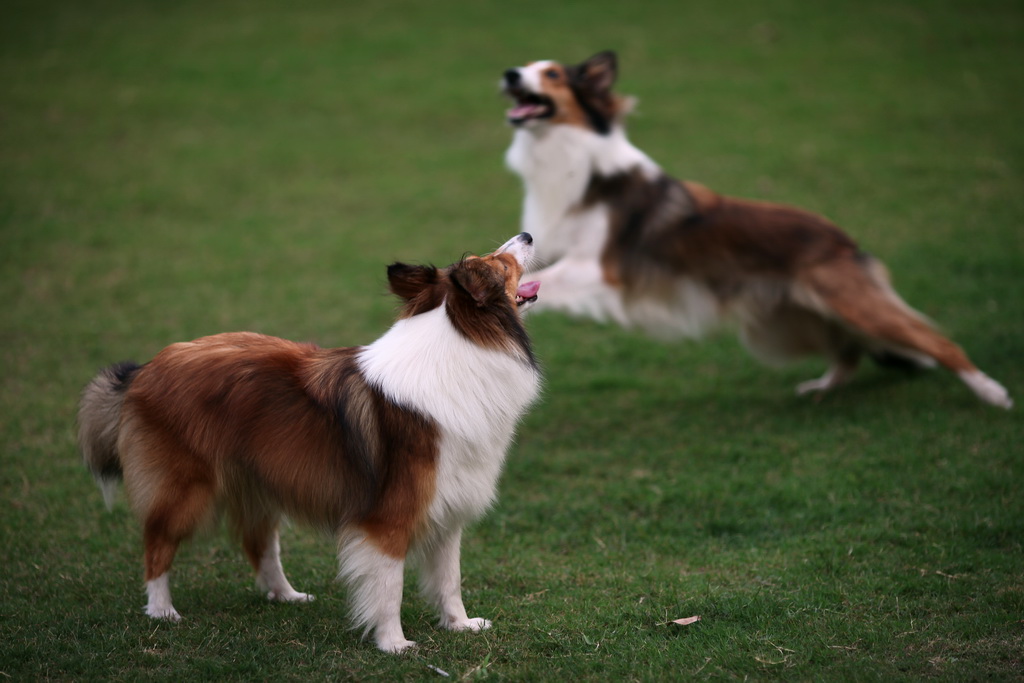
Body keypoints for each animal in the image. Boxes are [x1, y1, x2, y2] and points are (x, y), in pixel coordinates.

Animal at [77, 233, 544, 651]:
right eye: (499, 262)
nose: (527, 234)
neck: (460, 346)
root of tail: (146, 368)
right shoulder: (389, 516)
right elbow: (389, 586)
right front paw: (394, 644)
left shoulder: (448, 508)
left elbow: (450, 579)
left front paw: (460, 625)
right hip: (184, 488)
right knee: (157, 543)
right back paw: (162, 611)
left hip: (258, 481)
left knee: (260, 544)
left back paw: (286, 595)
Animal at [499, 52, 1011, 411]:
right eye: (526, 66)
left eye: (553, 75)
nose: (509, 74)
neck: (570, 158)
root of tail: (845, 239)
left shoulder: (600, 269)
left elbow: (542, 279)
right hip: (790, 320)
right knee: (849, 352)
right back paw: (821, 386)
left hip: (848, 302)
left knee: (937, 342)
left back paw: (993, 394)